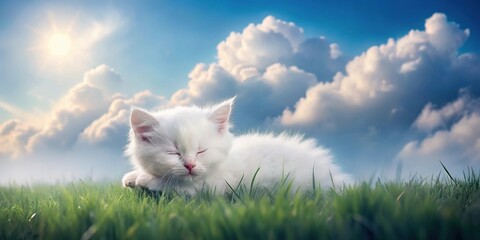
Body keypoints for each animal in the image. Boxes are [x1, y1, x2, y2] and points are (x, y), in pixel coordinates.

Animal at [122, 97, 350, 195]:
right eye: (173, 152)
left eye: (201, 151)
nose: (190, 165)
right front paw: (133, 176)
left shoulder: (215, 186)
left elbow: (178, 185)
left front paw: (145, 179)